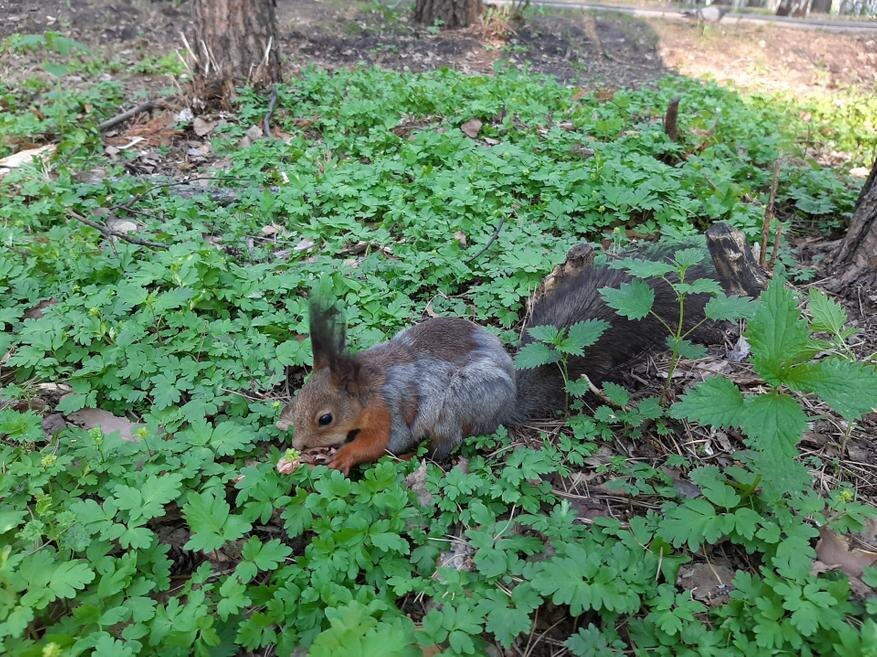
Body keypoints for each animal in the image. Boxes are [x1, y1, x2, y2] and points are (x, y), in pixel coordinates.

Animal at [275, 245, 724, 474]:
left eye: (326, 418)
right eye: (298, 399)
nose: (298, 444)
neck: (367, 386)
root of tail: (509, 402)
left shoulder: (392, 408)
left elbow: (381, 442)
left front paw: (342, 456)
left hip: (461, 404)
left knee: (446, 446)